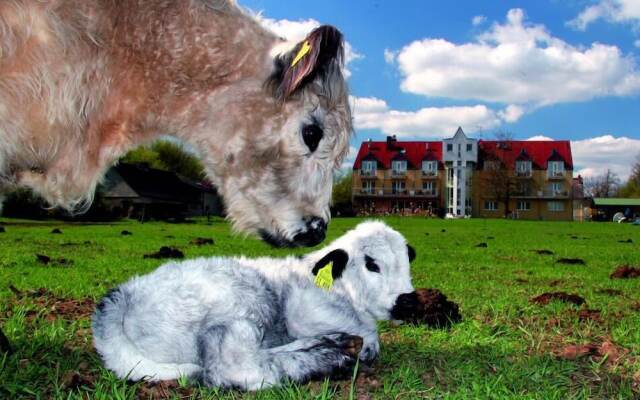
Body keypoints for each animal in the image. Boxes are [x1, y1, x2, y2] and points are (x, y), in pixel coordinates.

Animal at [92, 220, 418, 390]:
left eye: (407, 261)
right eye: (371, 264)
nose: (407, 301)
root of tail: (121, 297)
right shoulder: (302, 313)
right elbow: (371, 342)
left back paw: (331, 344)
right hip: (241, 304)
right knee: (230, 368)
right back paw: (326, 358)